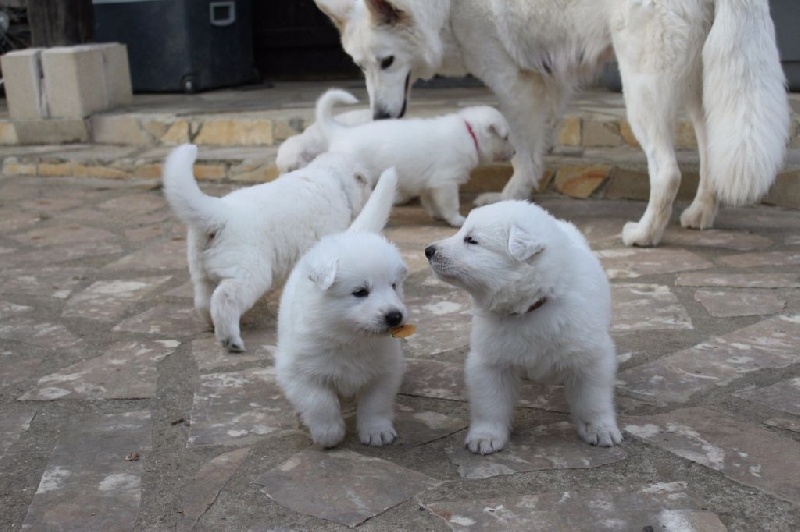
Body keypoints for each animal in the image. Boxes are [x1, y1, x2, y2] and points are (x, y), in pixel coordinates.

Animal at [165, 144, 376, 354]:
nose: (371, 191)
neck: (331, 176)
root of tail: (219, 215)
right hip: (250, 271)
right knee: (225, 298)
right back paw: (231, 340)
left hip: (201, 271)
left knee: (203, 301)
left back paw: (212, 325)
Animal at [276, 168, 410, 446]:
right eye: (360, 292)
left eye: (394, 285)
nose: (395, 316)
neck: (351, 339)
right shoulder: (298, 371)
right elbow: (319, 402)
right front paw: (329, 433)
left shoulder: (385, 369)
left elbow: (376, 403)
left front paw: (377, 432)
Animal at [312, 87, 512, 227]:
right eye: (506, 138)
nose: (515, 152)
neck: (470, 132)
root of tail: (340, 132)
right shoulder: (446, 181)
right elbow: (450, 204)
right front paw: (456, 220)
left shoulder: (430, 183)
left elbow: (430, 201)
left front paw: (437, 214)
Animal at [428, 200, 620, 454]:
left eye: (471, 240)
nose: (428, 250)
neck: (531, 307)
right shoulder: (491, 361)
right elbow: (490, 403)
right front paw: (485, 436)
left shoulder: (590, 357)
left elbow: (593, 400)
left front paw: (600, 430)